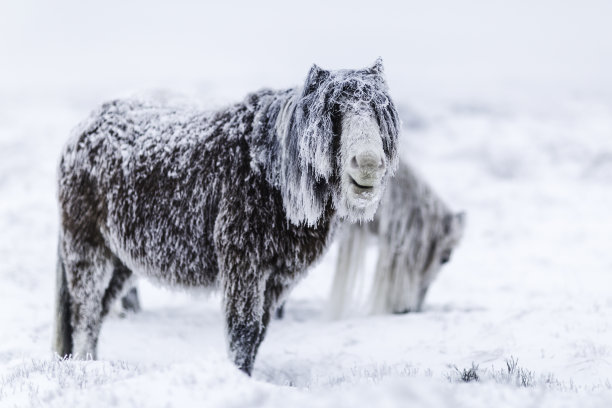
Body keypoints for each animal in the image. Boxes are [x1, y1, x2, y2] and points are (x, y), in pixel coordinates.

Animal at [53, 59, 402, 374]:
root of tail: (80, 131)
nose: (367, 165)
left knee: (99, 309)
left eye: (379, 112)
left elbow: (258, 333)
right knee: (85, 312)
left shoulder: (275, 279)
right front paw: (239, 378)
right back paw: (85, 365)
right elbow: (243, 331)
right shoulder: (243, 264)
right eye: (333, 113)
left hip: (122, 261)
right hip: (87, 249)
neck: (269, 174)